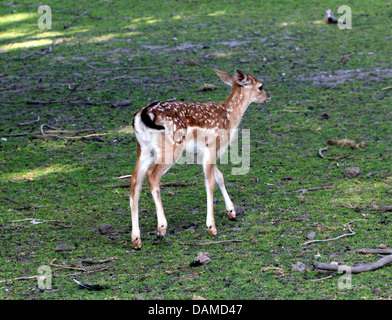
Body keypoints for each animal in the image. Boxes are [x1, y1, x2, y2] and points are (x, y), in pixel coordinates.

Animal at [129, 69, 270, 250]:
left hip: (144, 149)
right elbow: (210, 182)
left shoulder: (202, 153)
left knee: (134, 180)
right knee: (152, 174)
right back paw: (161, 228)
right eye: (260, 86)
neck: (230, 117)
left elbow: (219, 176)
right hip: (171, 146)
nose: (268, 96)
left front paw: (231, 212)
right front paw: (212, 227)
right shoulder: (212, 145)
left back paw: (136, 239)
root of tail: (143, 114)